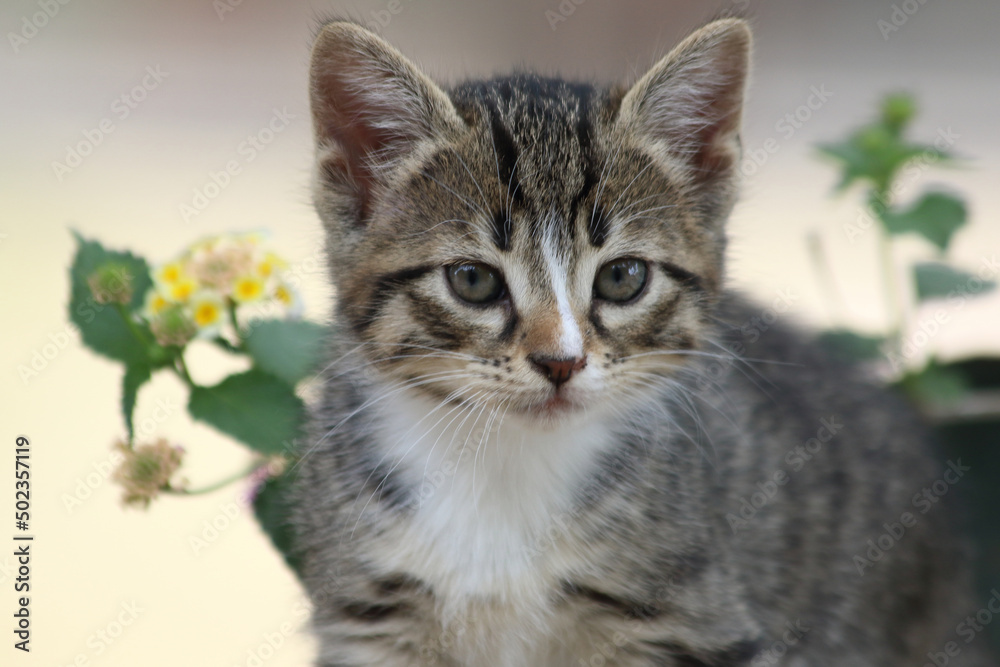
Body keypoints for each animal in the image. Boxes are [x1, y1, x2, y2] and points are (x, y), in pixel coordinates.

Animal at [292, 18, 992, 664]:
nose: (561, 362)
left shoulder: (695, 622)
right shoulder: (369, 619)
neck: (503, 469)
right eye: (472, 280)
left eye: (623, 278)